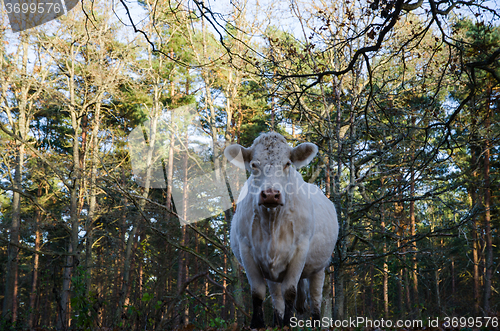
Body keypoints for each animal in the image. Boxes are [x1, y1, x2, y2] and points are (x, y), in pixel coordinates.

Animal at [226, 132, 340, 330]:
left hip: (320, 267)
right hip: (273, 272)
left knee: (315, 298)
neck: (272, 222)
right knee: (277, 298)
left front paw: (288, 323)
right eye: (254, 165)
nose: (271, 194)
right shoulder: (246, 249)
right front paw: (258, 324)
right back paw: (278, 321)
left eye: (287, 163)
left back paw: (315, 322)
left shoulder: (300, 251)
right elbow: (258, 292)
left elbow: (290, 291)